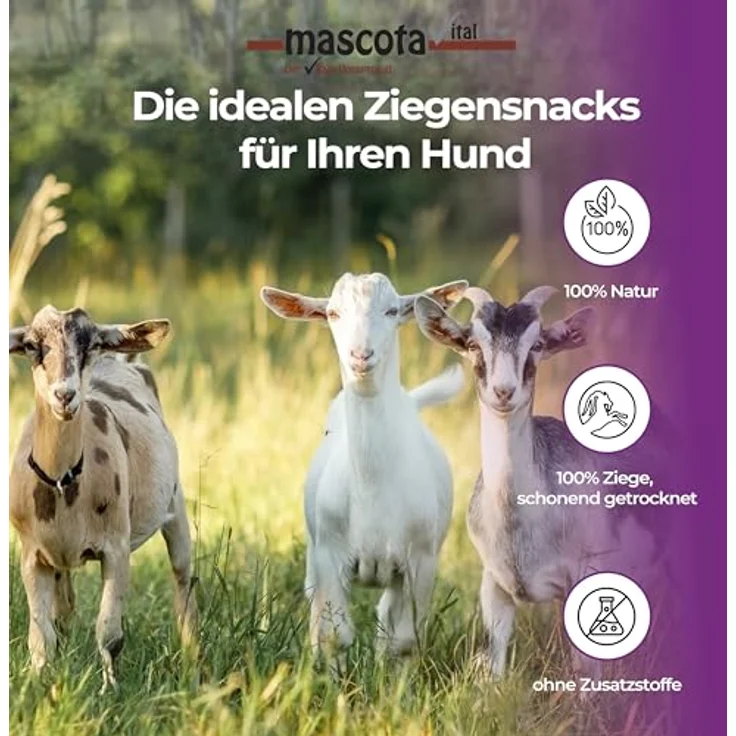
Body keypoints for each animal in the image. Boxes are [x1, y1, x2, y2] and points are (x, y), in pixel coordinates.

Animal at [9, 306, 197, 692]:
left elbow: (110, 633)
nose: (64, 395)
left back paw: (192, 660)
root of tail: (123, 358)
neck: (63, 482)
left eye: (92, 343)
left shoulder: (116, 547)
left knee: (183, 578)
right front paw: (39, 685)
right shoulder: (31, 553)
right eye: (32, 345)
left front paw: (110, 689)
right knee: (64, 609)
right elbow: (41, 634)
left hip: (175, 505)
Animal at [260, 273, 467, 658]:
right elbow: (333, 635)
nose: (360, 355)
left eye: (392, 311)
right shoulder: (329, 555)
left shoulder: (420, 560)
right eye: (332, 313)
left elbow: (403, 641)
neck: (372, 489)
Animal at [415, 285, 655, 677]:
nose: (504, 391)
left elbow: (585, 665)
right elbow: (494, 658)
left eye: (537, 345)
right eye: (472, 344)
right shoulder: (493, 581)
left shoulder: (588, 568)